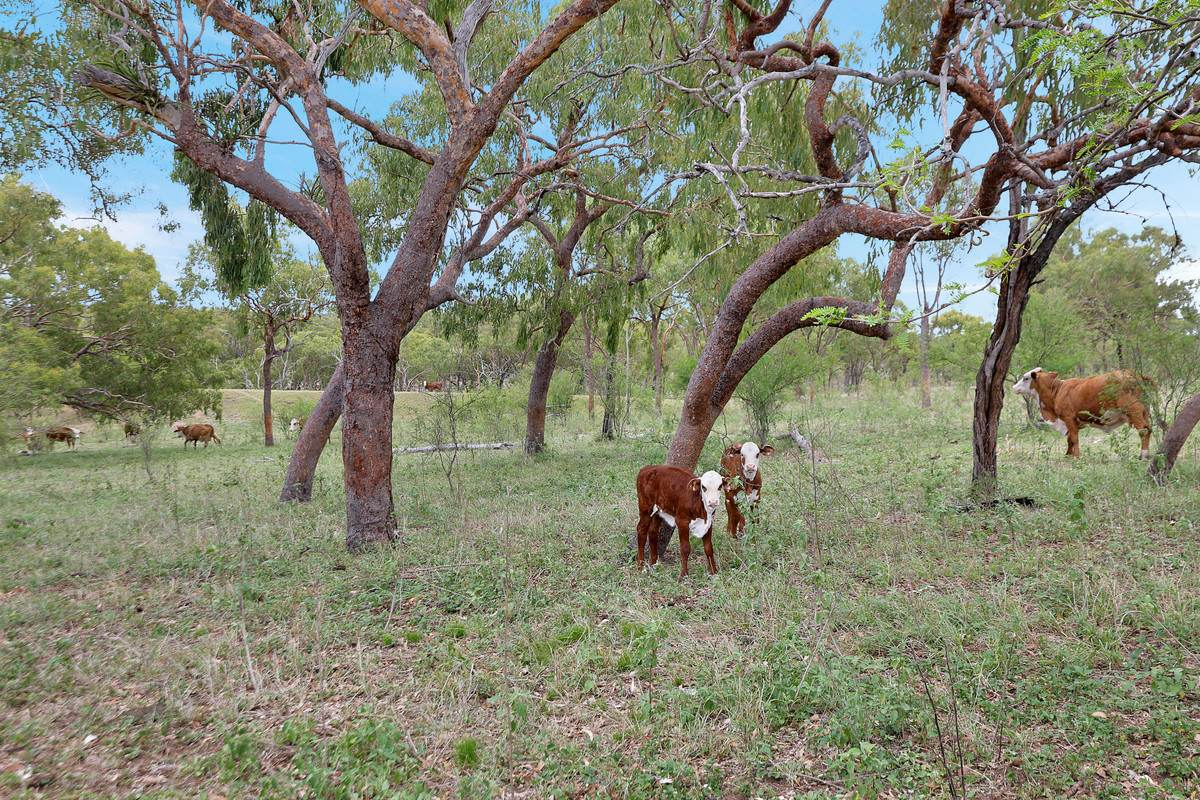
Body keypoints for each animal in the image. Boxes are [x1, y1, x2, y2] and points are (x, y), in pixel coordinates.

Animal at [1012, 368, 1152, 458]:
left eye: (1025, 378)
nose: (1013, 387)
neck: (1057, 391)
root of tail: (1134, 374)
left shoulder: (1069, 418)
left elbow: (1074, 439)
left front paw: (1076, 457)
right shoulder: (1071, 423)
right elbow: (1070, 439)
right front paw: (1068, 455)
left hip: (1134, 411)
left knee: (1143, 430)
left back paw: (1143, 455)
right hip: (1145, 411)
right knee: (1149, 429)